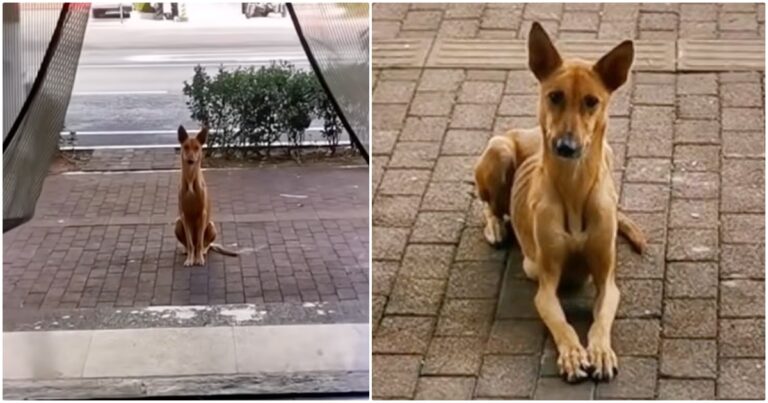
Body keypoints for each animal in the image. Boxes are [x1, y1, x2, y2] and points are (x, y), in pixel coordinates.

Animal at [176, 124, 238, 266]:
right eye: (185, 147)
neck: (191, 180)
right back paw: (186, 251)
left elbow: (199, 242)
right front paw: (190, 259)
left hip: (211, 226)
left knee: (206, 244)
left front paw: (199, 258)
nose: (190, 160)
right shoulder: (184, 215)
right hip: (178, 223)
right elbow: (190, 243)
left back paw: (203, 251)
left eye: (197, 148)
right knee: (189, 244)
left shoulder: (202, 214)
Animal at [474, 22, 648, 386]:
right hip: (499, 149)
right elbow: (561, 323)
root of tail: (527, 133)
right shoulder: (545, 284)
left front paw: (599, 350)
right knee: (491, 206)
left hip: (608, 153)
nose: (565, 146)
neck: (574, 188)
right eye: (555, 96)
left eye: (592, 101)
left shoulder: (607, 281)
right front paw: (572, 354)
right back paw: (496, 226)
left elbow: (601, 321)